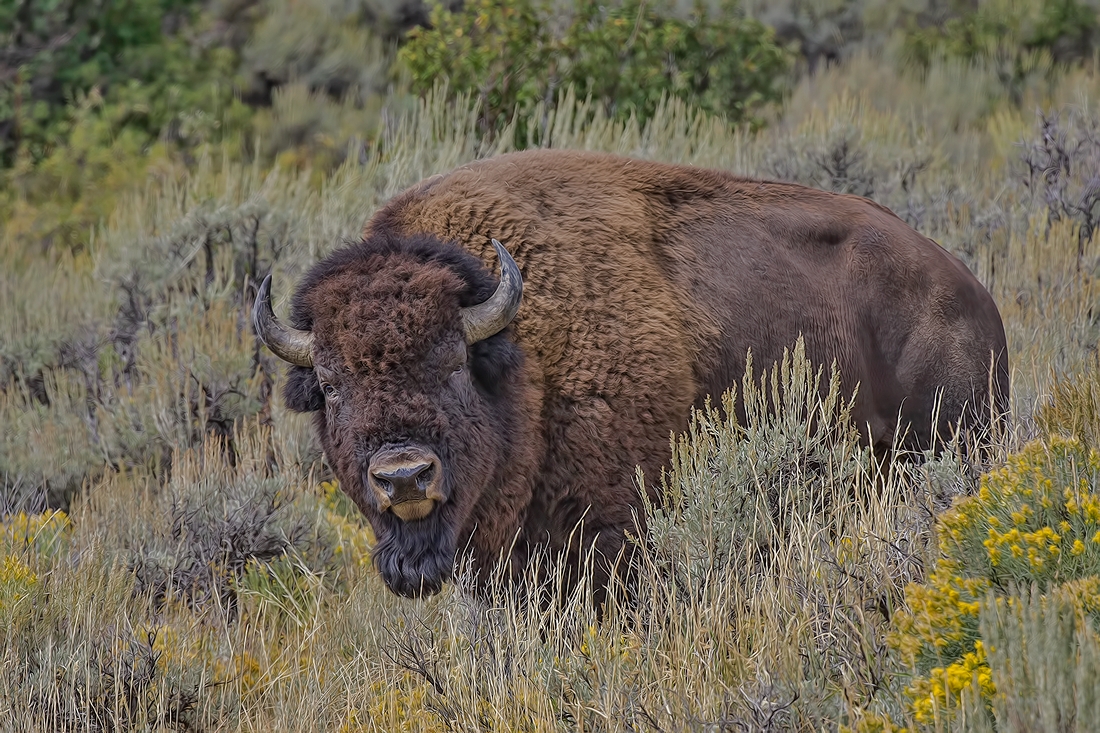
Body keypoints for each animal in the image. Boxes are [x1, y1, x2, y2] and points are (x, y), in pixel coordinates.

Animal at [253, 147, 1007, 598]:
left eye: (453, 362)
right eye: (331, 385)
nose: (404, 476)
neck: (524, 354)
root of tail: (969, 289)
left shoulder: (613, 528)